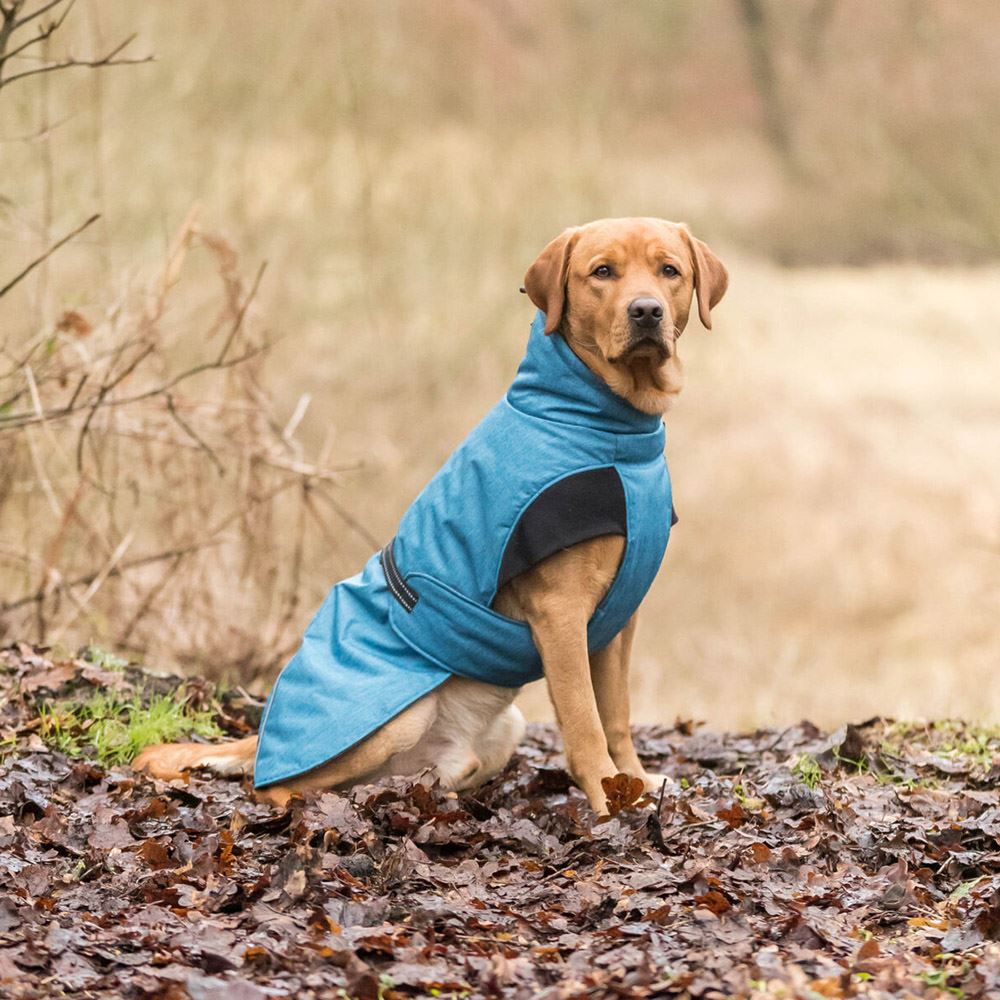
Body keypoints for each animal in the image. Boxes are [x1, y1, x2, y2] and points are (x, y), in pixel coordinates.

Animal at [135, 217, 728, 812]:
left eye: (669, 270)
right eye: (602, 272)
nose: (646, 311)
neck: (609, 431)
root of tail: (261, 737)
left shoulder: (617, 620)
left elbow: (617, 717)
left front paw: (637, 784)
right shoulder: (561, 614)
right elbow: (585, 724)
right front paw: (609, 803)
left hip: (502, 729)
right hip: (396, 718)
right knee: (275, 786)